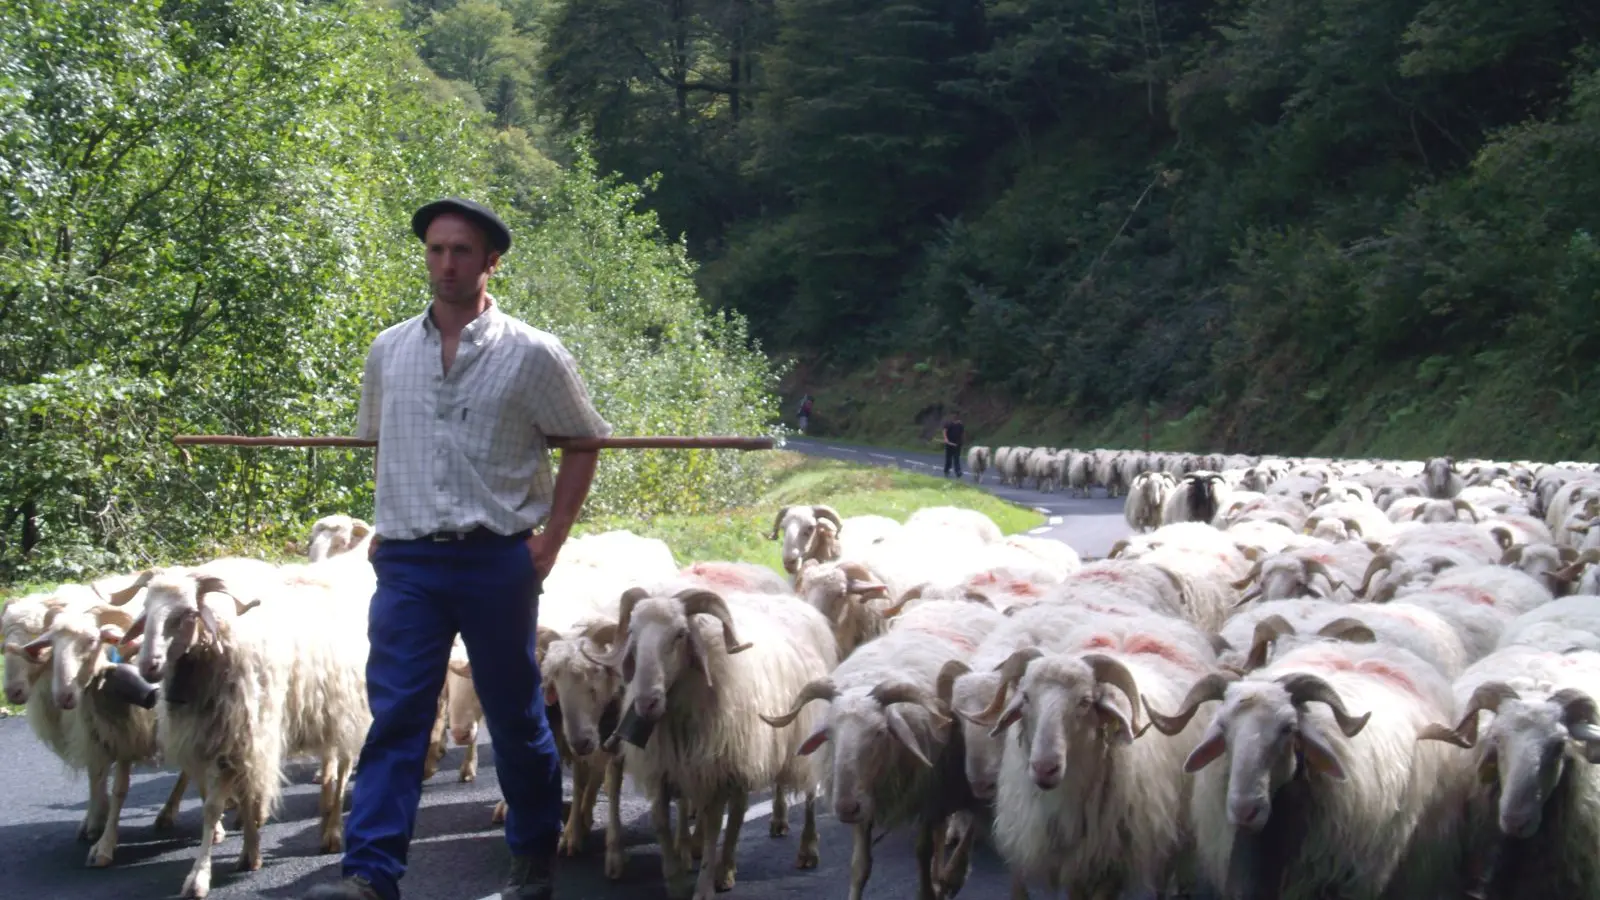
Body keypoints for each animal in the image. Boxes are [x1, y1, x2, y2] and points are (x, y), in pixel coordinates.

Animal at [585, 582, 838, 896]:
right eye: (632, 632)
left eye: (681, 634)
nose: (646, 703)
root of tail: (796, 603)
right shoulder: (669, 767)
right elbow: (662, 823)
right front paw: (676, 880)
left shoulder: (717, 769)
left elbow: (714, 827)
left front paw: (704, 887)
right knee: (744, 807)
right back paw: (742, 852)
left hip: (792, 737)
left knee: (808, 793)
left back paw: (807, 849)